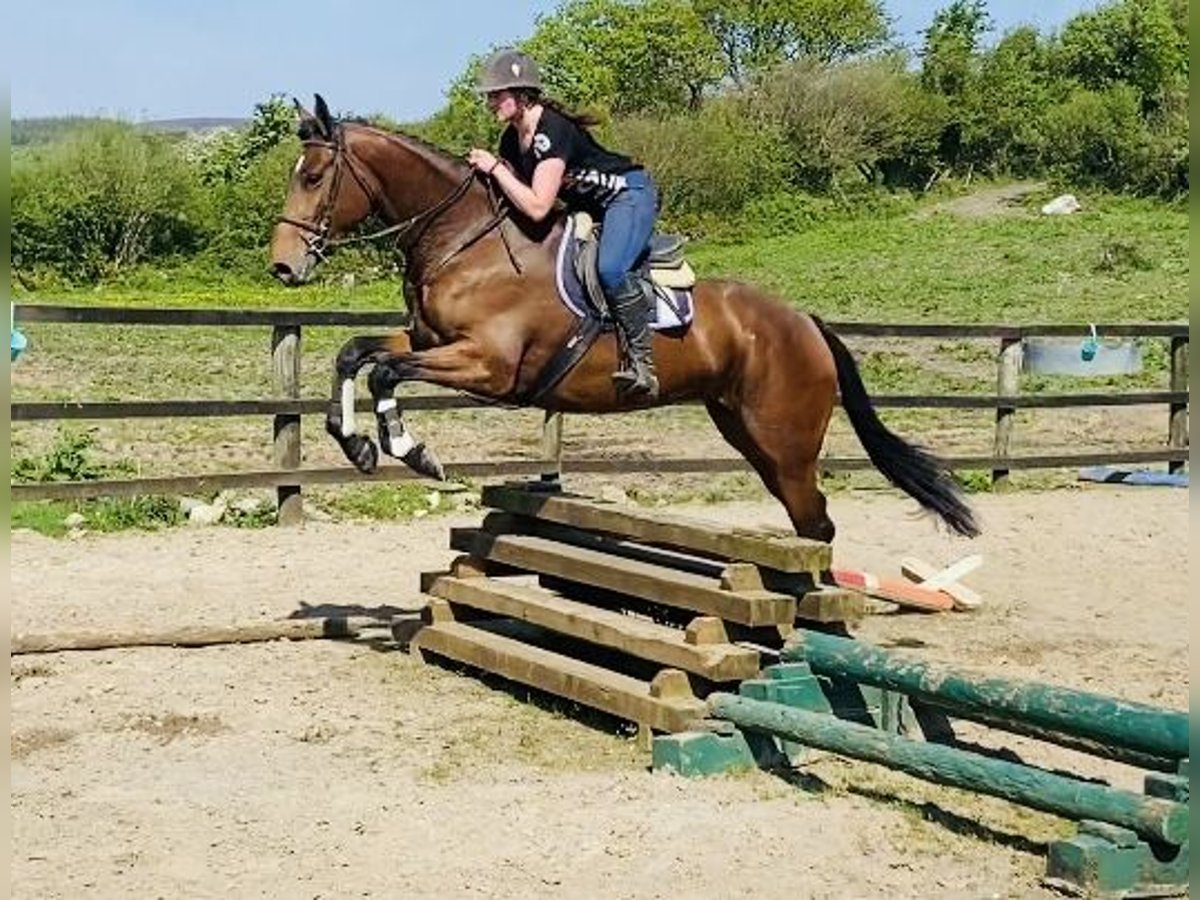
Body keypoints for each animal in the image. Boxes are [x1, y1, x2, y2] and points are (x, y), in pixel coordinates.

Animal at [270, 96, 974, 542]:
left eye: (314, 175)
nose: (282, 267)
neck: (464, 239)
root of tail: (805, 323)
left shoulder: (490, 367)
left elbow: (386, 373)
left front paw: (412, 452)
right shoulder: (428, 339)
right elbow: (356, 354)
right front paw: (357, 444)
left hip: (787, 440)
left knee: (818, 521)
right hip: (748, 433)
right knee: (808, 519)